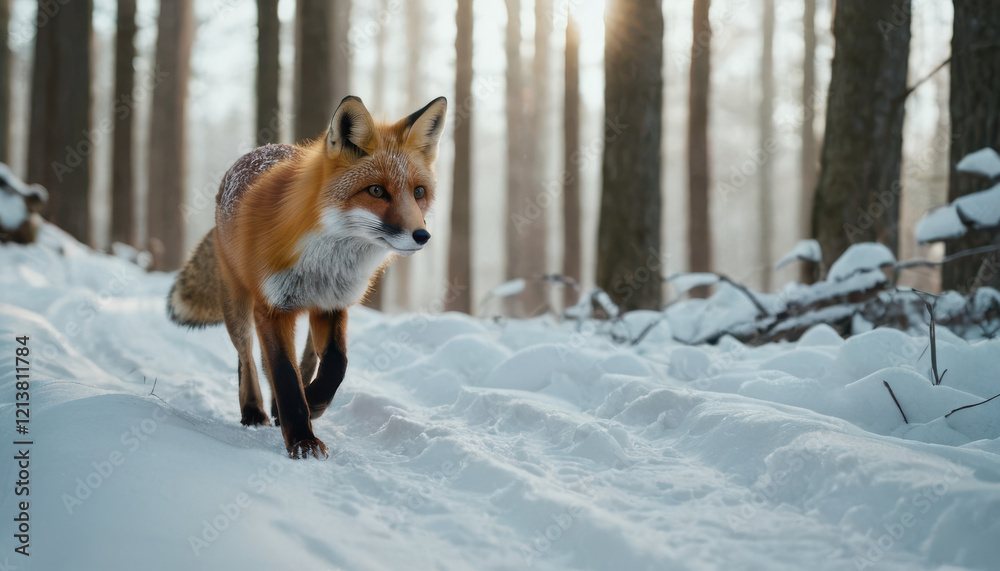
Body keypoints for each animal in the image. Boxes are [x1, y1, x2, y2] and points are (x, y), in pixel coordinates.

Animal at [167, 95, 447, 459]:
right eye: (376, 191)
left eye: (418, 192)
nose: (421, 236)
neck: (324, 259)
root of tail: (260, 149)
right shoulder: (271, 308)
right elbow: (285, 375)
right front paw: (302, 440)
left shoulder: (332, 305)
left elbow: (336, 364)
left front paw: (313, 404)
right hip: (239, 305)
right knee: (247, 357)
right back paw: (254, 410)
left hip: (308, 309)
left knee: (301, 358)